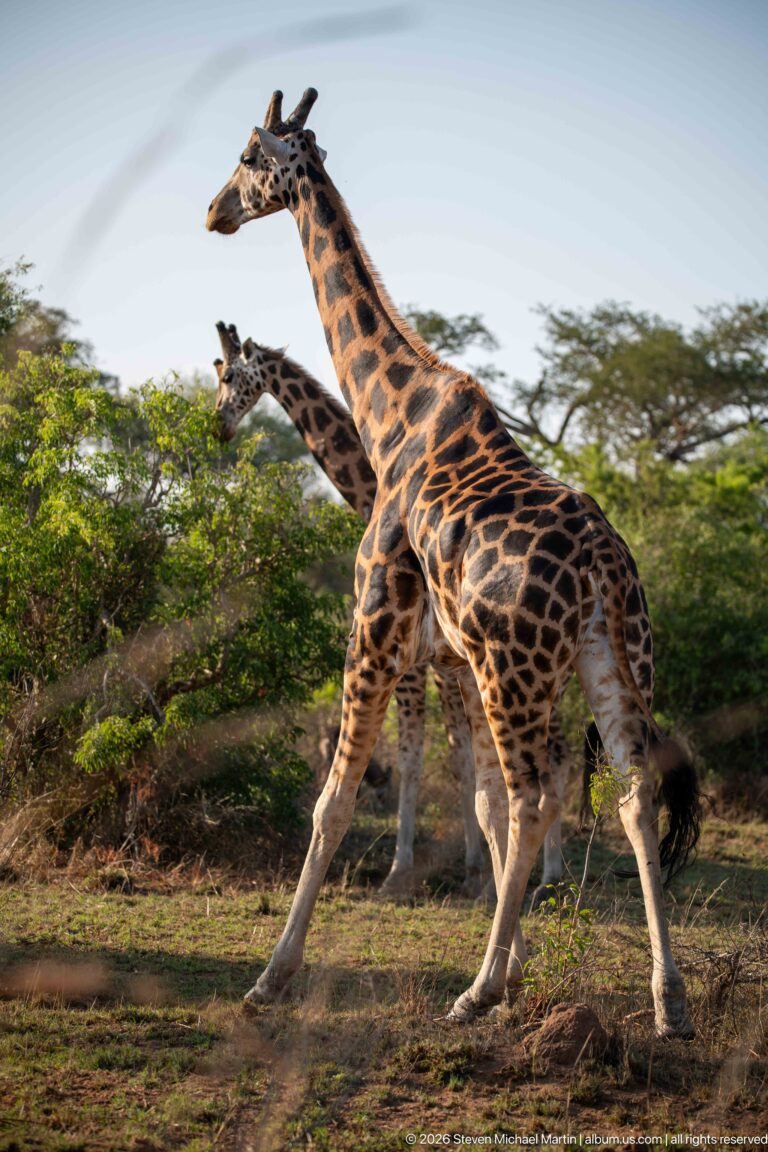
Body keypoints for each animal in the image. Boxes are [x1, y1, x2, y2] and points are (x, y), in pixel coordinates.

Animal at [212, 320, 575, 906]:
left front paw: (412, 871)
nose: (218, 424)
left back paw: (552, 873)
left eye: (225, 374)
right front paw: (472, 869)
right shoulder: (440, 663)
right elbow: (455, 756)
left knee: (558, 753)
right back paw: (545, 872)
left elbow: (420, 756)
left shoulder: (419, 663)